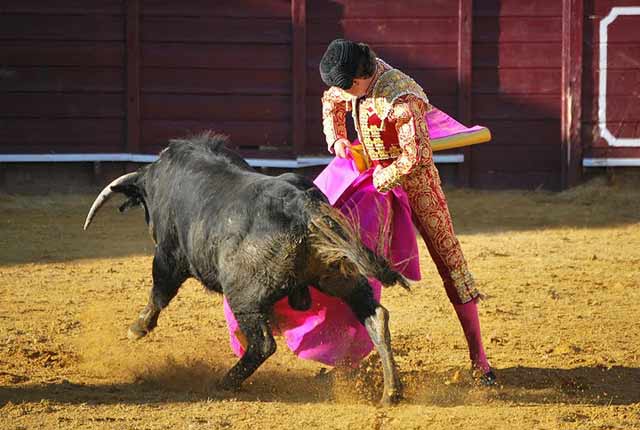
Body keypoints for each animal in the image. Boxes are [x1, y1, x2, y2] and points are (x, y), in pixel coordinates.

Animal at [84, 133, 410, 404]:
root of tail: (301, 206)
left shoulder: (168, 255)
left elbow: (159, 291)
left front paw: (137, 328)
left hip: (244, 297)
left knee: (262, 344)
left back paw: (225, 383)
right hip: (339, 275)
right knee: (375, 316)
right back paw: (390, 393)